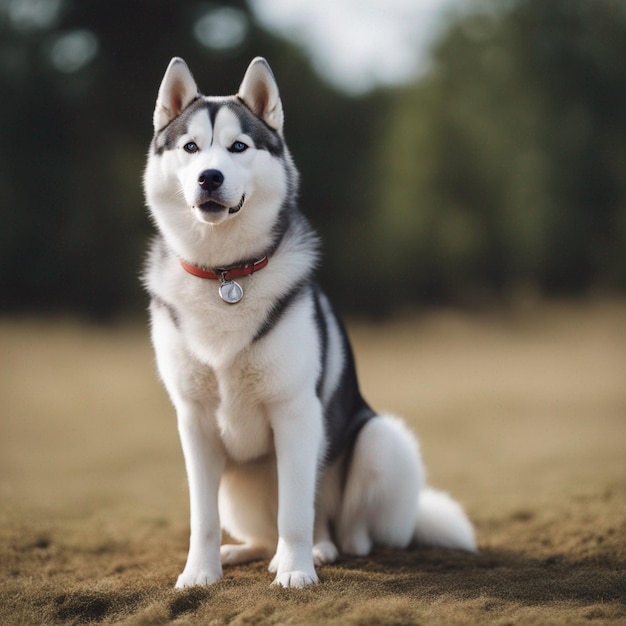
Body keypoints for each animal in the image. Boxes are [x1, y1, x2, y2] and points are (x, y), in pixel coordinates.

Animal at [143, 56, 472, 588]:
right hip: (238, 487)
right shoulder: (193, 421)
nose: (209, 177)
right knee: (260, 532)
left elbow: (296, 511)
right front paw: (200, 572)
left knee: (348, 531)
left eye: (239, 147)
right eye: (190, 147)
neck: (225, 274)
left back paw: (320, 549)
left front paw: (296, 571)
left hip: (382, 440)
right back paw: (243, 552)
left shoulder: (295, 413)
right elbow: (202, 517)